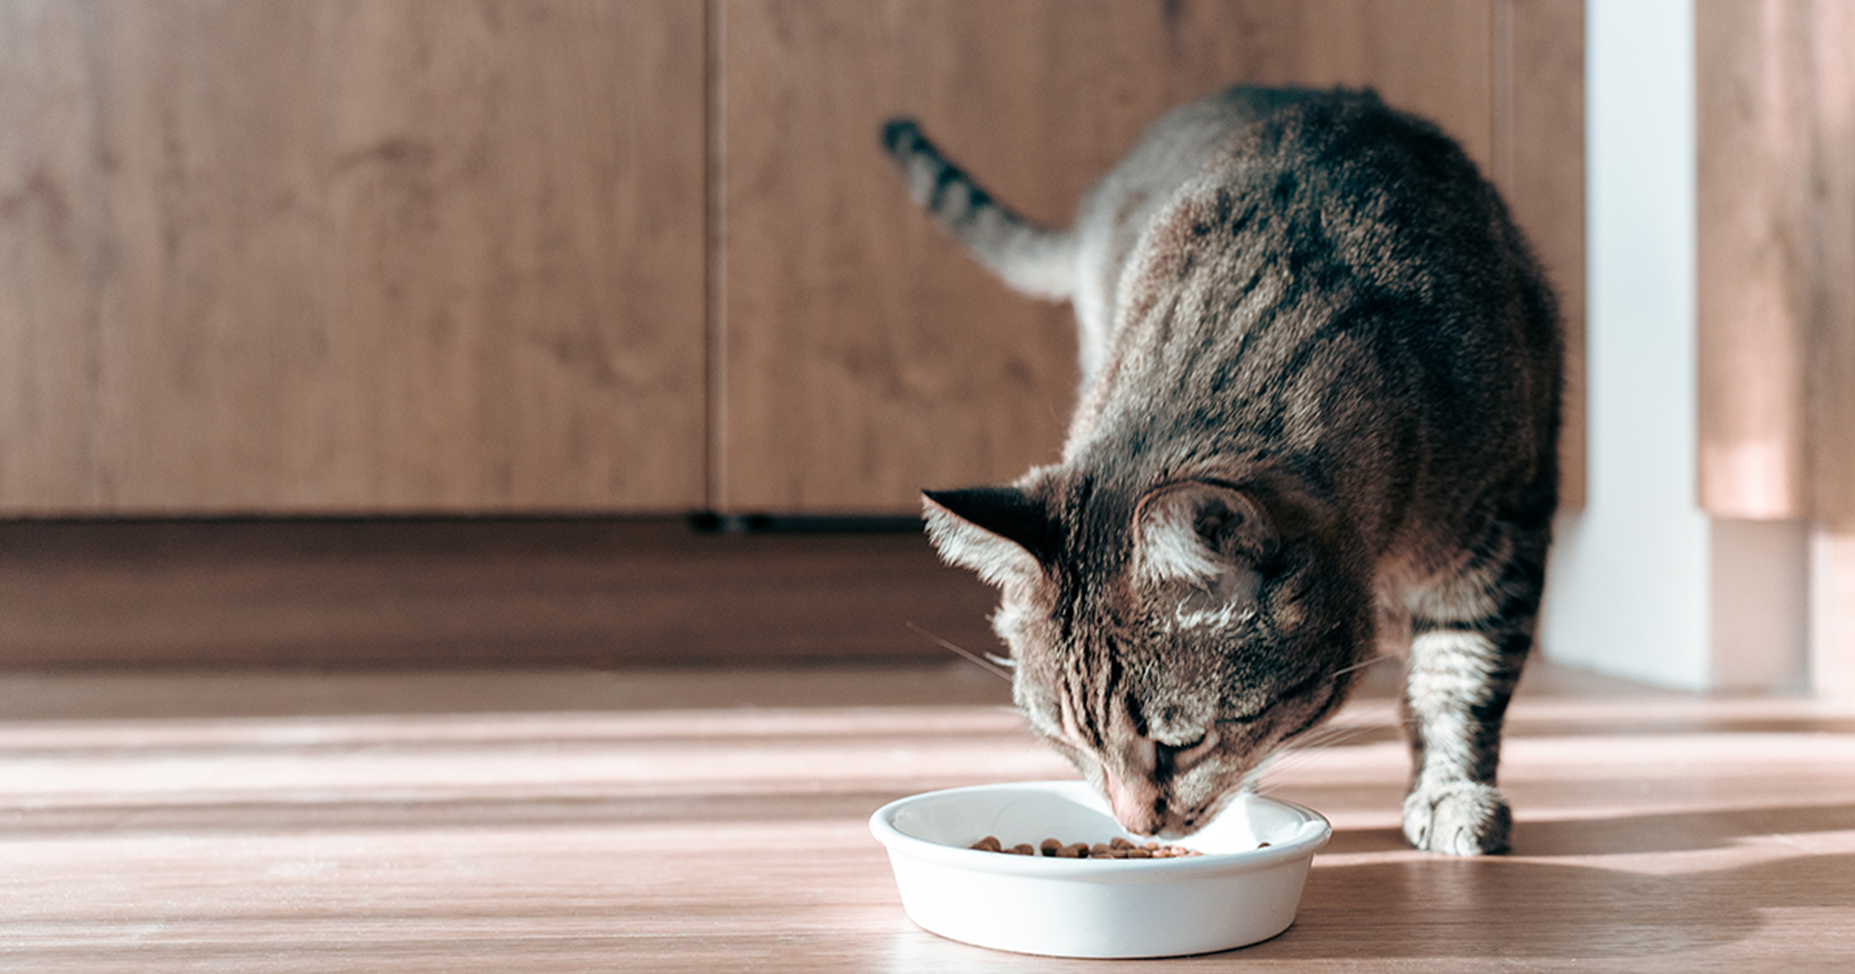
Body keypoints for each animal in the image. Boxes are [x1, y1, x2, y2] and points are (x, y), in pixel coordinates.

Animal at [882, 87, 1565, 853]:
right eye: (1070, 740)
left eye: (1183, 743)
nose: (1134, 825)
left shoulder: (1502, 531)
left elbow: (1460, 680)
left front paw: (1452, 793)